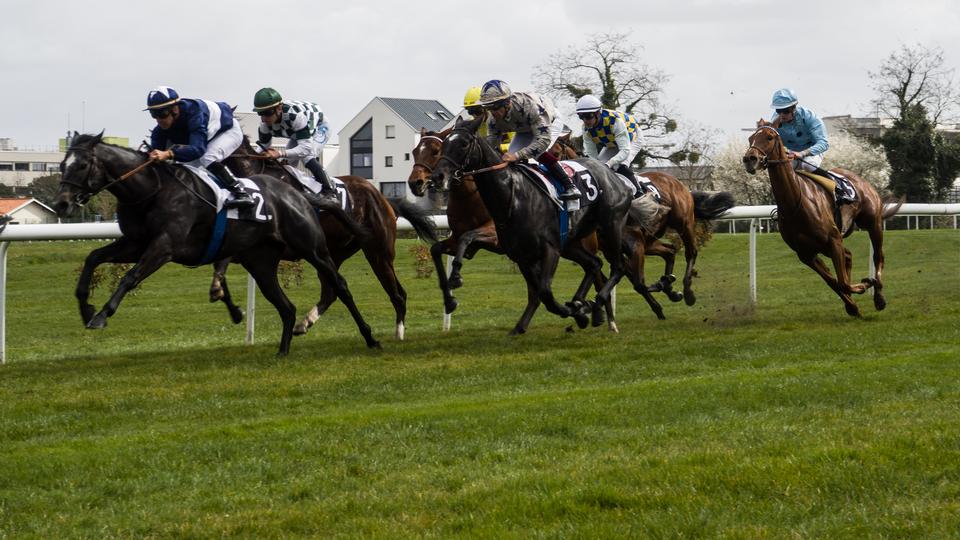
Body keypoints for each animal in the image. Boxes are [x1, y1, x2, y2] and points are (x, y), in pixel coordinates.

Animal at [214, 135, 438, 340]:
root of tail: (384, 199)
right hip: (333, 253)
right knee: (331, 292)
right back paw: (304, 323)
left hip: (377, 252)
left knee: (397, 294)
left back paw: (398, 333)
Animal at [432, 118, 632, 334]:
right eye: (443, 145)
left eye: (464, 144)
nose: (437, 177)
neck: (513, 198)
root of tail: (614, 176)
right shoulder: (521, 256)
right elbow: (539, 293)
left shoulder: (549, 250)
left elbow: (544, 292)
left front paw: (577, 311)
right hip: (571, 243)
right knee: (594, 264)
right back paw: (582, 304)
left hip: (610, 227)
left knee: (618, 267)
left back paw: (598, 309)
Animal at [744, 125, 900, 316]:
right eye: (750, 138)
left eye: (769, 137)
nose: (749, 159)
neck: (795, 204)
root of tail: (860, 179)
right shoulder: (806, 253)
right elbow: (834, 282)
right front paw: (852, 306)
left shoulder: (833, 240)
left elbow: (842, 282)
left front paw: (865, 285)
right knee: (848, 256)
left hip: (872, 223)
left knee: (878, 255)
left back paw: (878, 296)